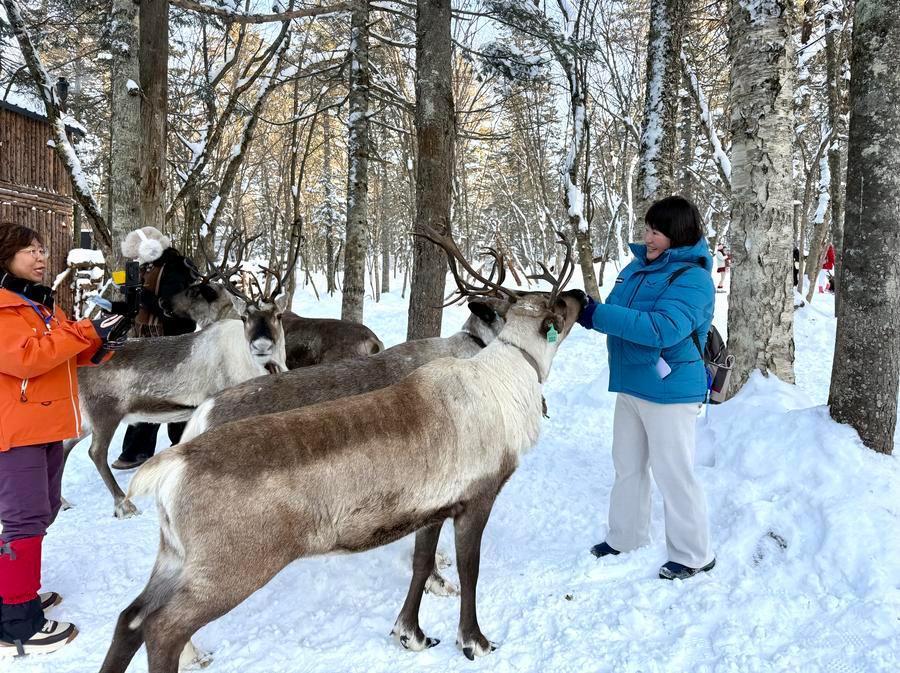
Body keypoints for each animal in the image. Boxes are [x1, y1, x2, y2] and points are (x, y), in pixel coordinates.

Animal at [62, 236, 291, 518]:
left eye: (277, 315)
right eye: (245, 316)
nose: (262, 346)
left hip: (86, 419)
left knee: (65, 445)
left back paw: (63, 501)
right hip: (105, 414)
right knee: (95, 453)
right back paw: (123, 504)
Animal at [98, 229, 584, 673]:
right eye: (557, 305)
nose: (580, 292)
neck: (503, 372)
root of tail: (178, 456)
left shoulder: (434, 504)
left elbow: (422, 561)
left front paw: (412, 632)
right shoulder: (477, 496)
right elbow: (469, 569)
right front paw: (475, 641)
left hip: (175, 557)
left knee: (131, 617)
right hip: (228, 570)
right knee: (163, 626)